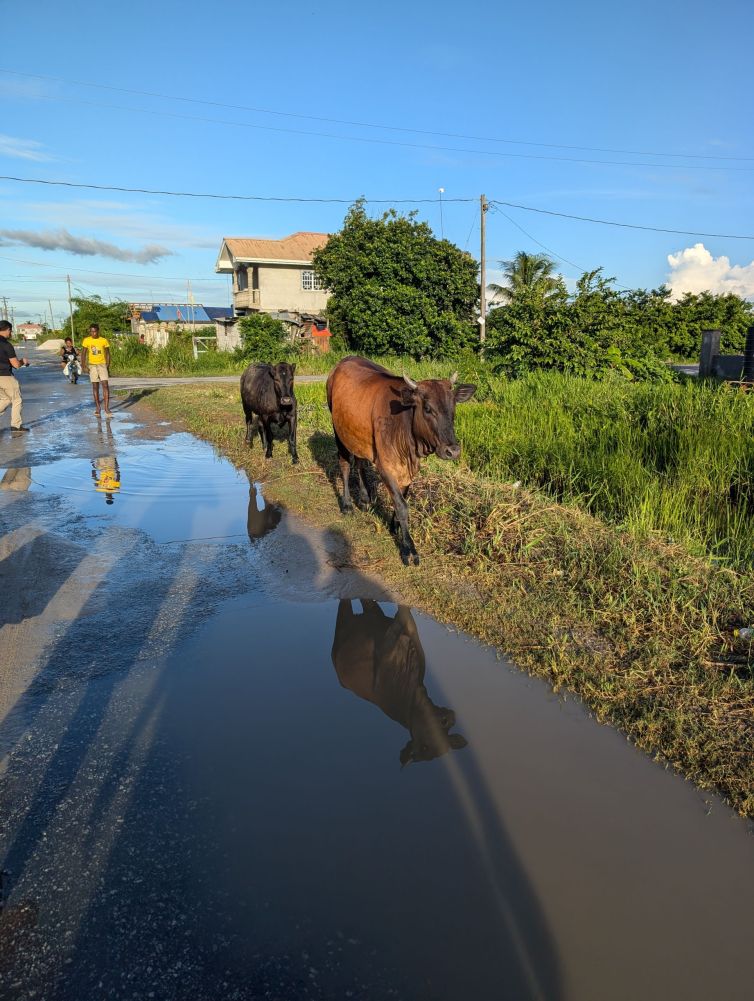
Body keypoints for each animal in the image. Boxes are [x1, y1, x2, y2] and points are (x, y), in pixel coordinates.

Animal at [324, 358, 476, 564]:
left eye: (453, 407)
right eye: (427, 408)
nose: (452, 451)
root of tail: (344, 361)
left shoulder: (408, 471)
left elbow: (401, 499)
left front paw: (394, 527)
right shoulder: (385, 466)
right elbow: (402, 505)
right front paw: (408, 549)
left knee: (361, 462)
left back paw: (364, 499)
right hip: (338, 431)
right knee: (346, 464)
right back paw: (347, 505)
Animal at [328, 600, 464, 764]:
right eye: (443, 722)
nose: (452, 716)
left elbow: (407, 620)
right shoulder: (389, 644)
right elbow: (403, 617)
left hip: (370, 617)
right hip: (342, 624)